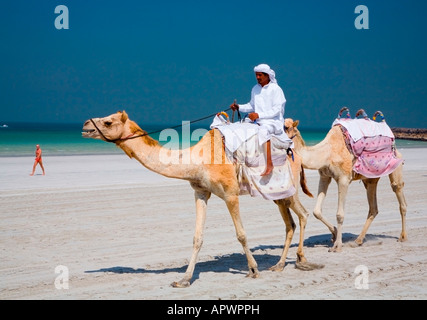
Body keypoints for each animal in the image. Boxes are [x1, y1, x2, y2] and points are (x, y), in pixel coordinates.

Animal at [82, 110, 320, 288]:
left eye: (108, 121)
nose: (85, 125)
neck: (198, 160)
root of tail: (296, 155)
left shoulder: (230, 194)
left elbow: (241, 234)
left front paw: (253, 270)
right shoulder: (200, 193)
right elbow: (197, 238)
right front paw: (184, 279)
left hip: (289, 190)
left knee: (303, 214)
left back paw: (301, 260)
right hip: (277, 195)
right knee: (290, 223)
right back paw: (280, 264)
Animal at [284, 115, 408, 252]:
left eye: (285, 127)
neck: (327, 152)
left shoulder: (343, 179)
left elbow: (339, 214)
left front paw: (337, 245)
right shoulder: (324, 176)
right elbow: (317, 211)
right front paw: (334, 233)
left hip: (395, 164)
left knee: (398, 191)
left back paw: (402, 237)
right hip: (370, 179)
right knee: (373, 207)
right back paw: (358, 240)